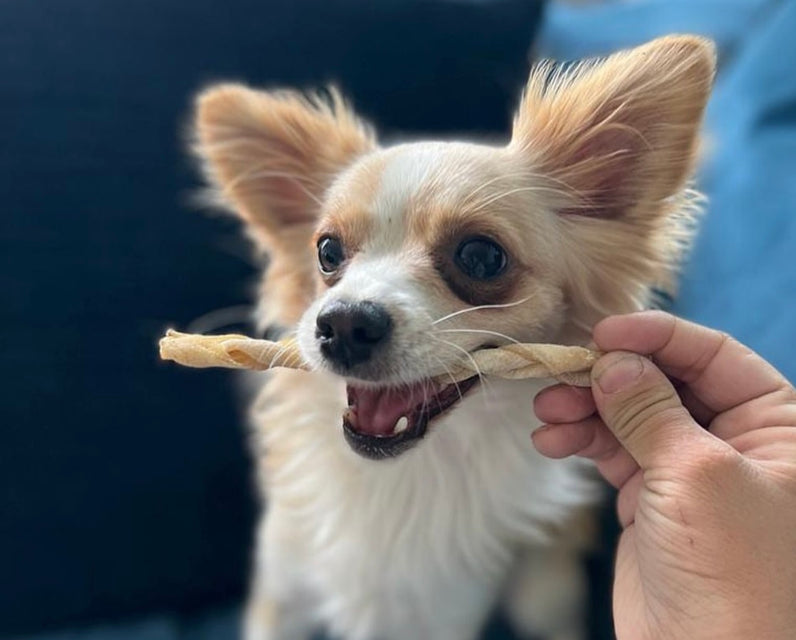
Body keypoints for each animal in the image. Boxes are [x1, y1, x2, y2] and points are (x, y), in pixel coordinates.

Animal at [191, 35, 716, 640]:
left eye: (482, 257)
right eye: (326, 251)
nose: (343, 322)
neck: (401, 478)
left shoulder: (436, 617)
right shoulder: (280, 594)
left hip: (541, 593)